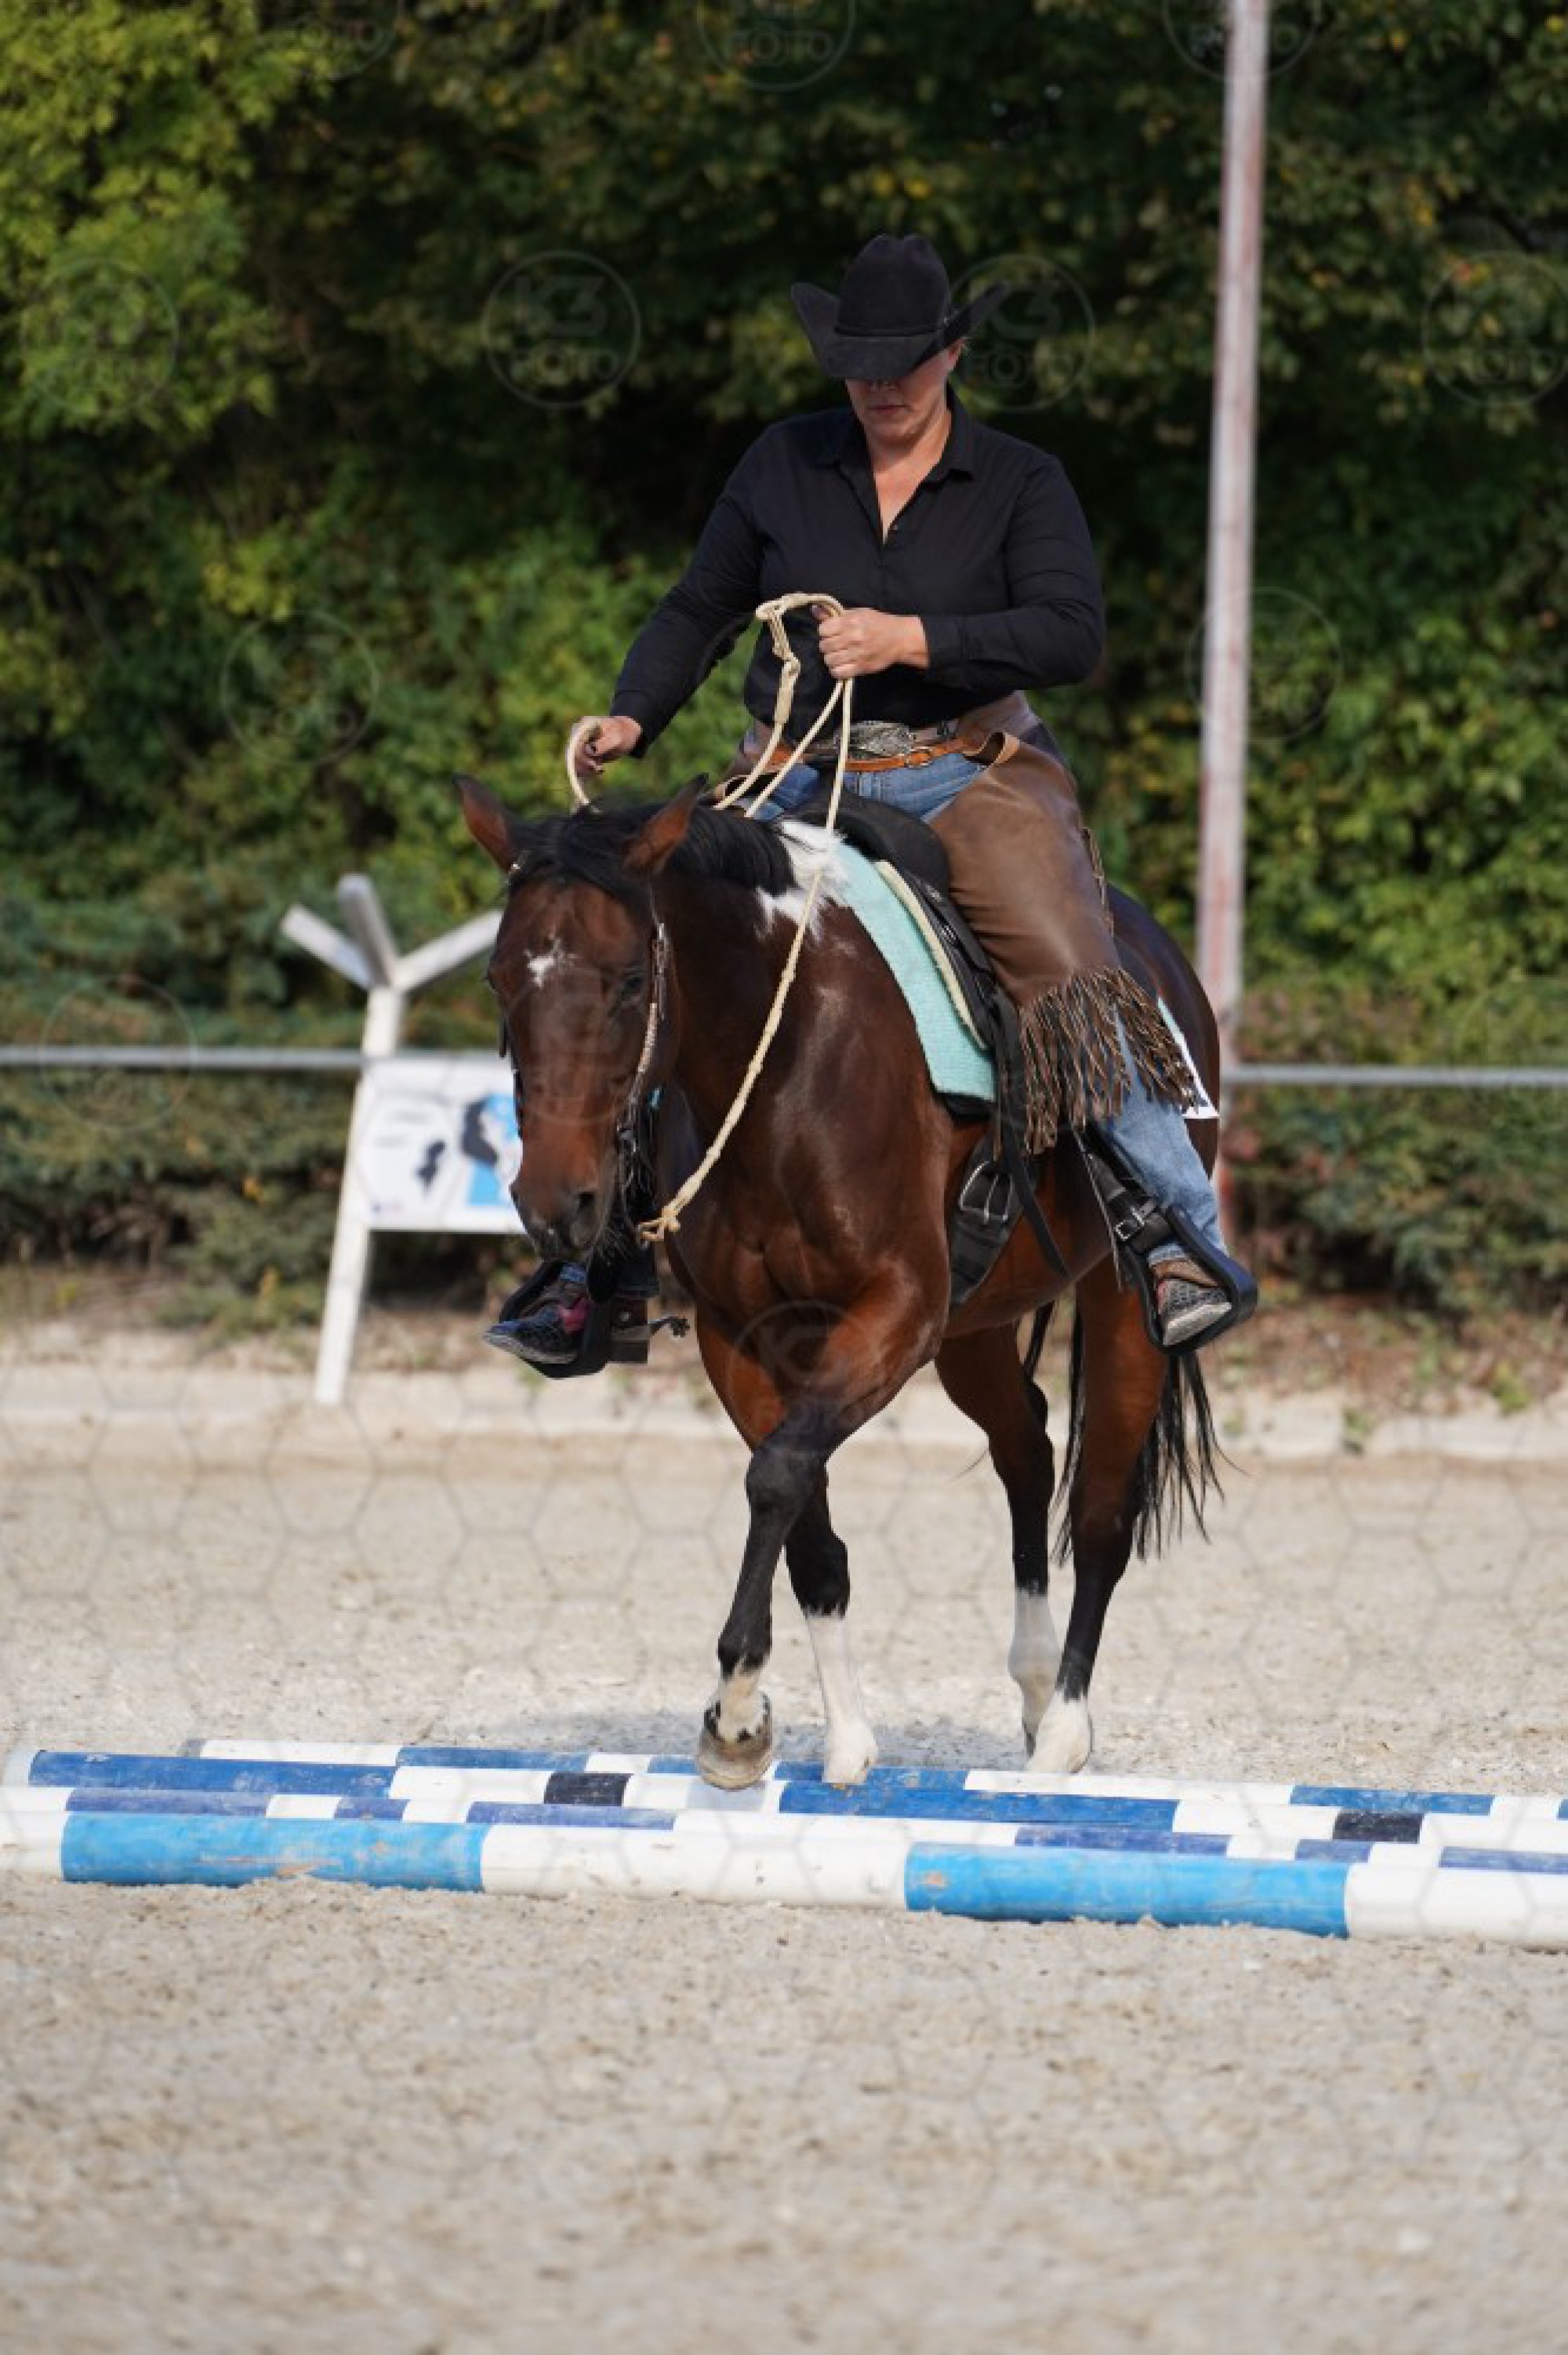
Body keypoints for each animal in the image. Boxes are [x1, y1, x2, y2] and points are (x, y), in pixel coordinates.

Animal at [459, 771, 1221, 1789]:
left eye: (627, 982)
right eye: (501, 980)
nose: (554, 1204)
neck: (787, 1063)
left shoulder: (894, 1310)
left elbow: (781, 1474)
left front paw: (734, 1712)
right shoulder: (744, 1336)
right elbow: (803, 1518)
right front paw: (806, 1732)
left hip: (1116, 1307)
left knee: (1100, 1506)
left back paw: (1062, 1730)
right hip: (972, 1328)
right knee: (1025, 1450)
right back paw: (1028, 1688)